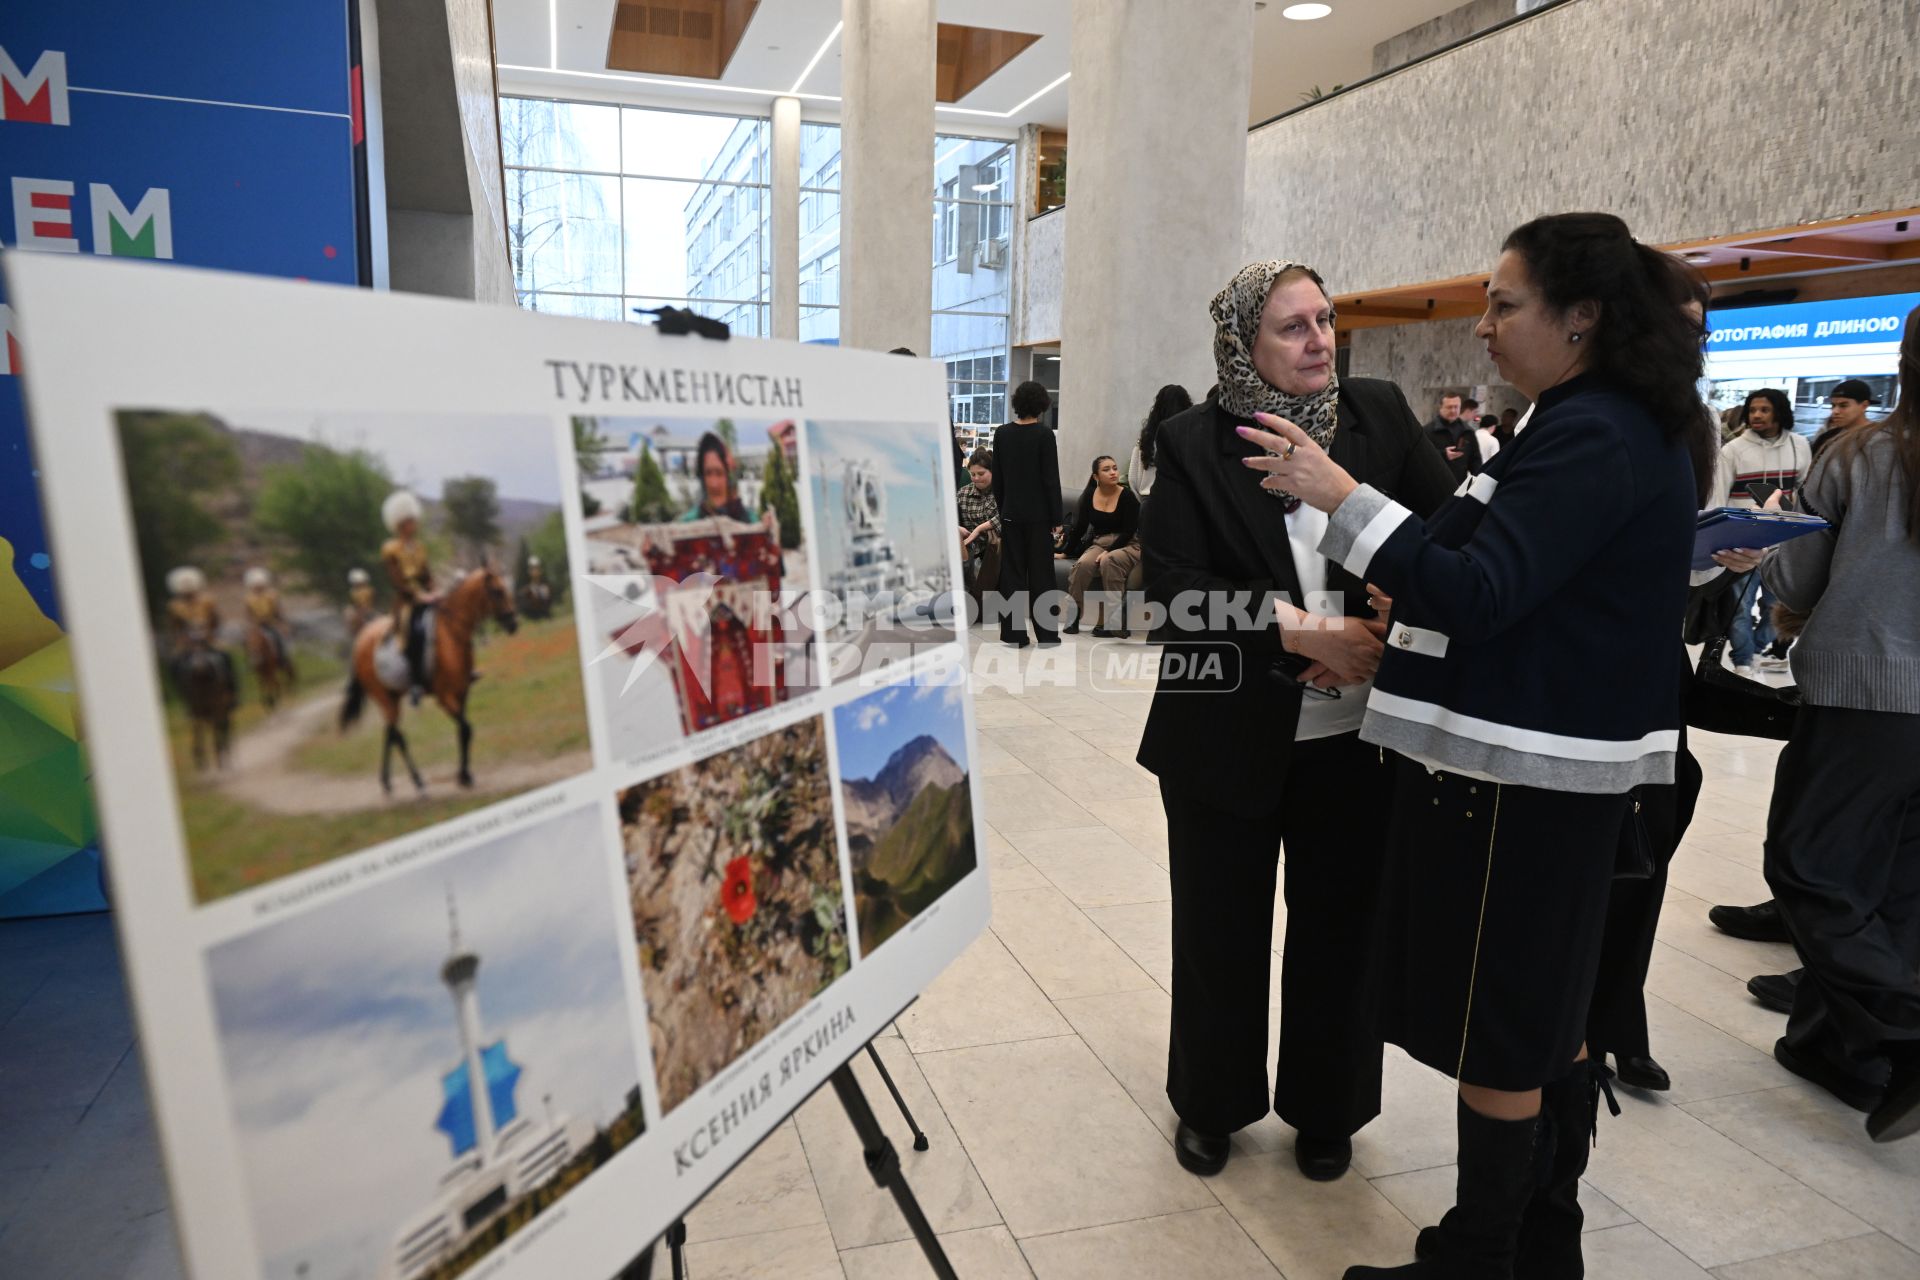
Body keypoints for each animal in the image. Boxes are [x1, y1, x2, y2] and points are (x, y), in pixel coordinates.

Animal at [339, 568, 514, 790]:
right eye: (497, 591)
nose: (513, 623)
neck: (451, 633)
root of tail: (360, 640)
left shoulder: (462, 692)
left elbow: (463, 731)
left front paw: (464, 775)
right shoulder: (445, 697)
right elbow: (466, 728)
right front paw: (464, 776)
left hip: (392, 696)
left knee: (390, 732)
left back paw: (387, 781)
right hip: (383, 697)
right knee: (398, 735)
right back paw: (418, 781)